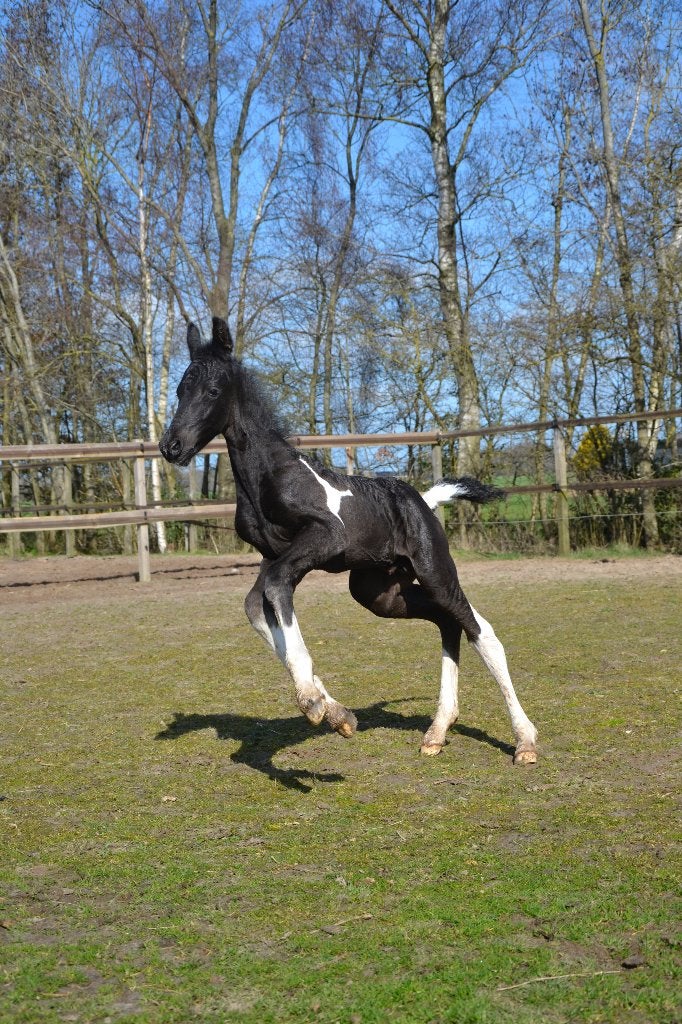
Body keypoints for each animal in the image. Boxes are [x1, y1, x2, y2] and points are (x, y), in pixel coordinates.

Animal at [160, 318, 537, 765]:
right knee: (447, 623)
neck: (270, 474)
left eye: (213, 391)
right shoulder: (272, 555)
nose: (171, 446)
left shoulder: (321, 538)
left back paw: (524, 741)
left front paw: (312, 701)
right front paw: (335, 712)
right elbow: (256, 606)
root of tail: (423, 501)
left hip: (434, 572)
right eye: (180, 390)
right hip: (379, 593)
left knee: (481, 631)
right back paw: (437, 731)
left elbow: (274, 592)